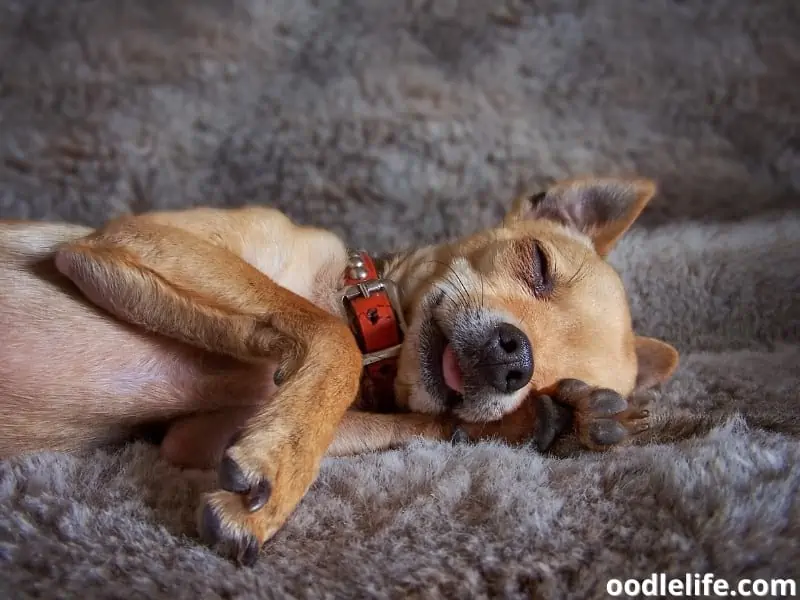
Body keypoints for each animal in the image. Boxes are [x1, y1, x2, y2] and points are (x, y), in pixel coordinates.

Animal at [0, 176, 680, 564]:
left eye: (541, 380)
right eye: (537, 263)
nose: (519, 363)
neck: (361, 315)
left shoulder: (199, 436)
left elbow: (392, 418)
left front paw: (556, 418)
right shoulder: (133, 240)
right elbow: (333, 347)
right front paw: (279, 473)